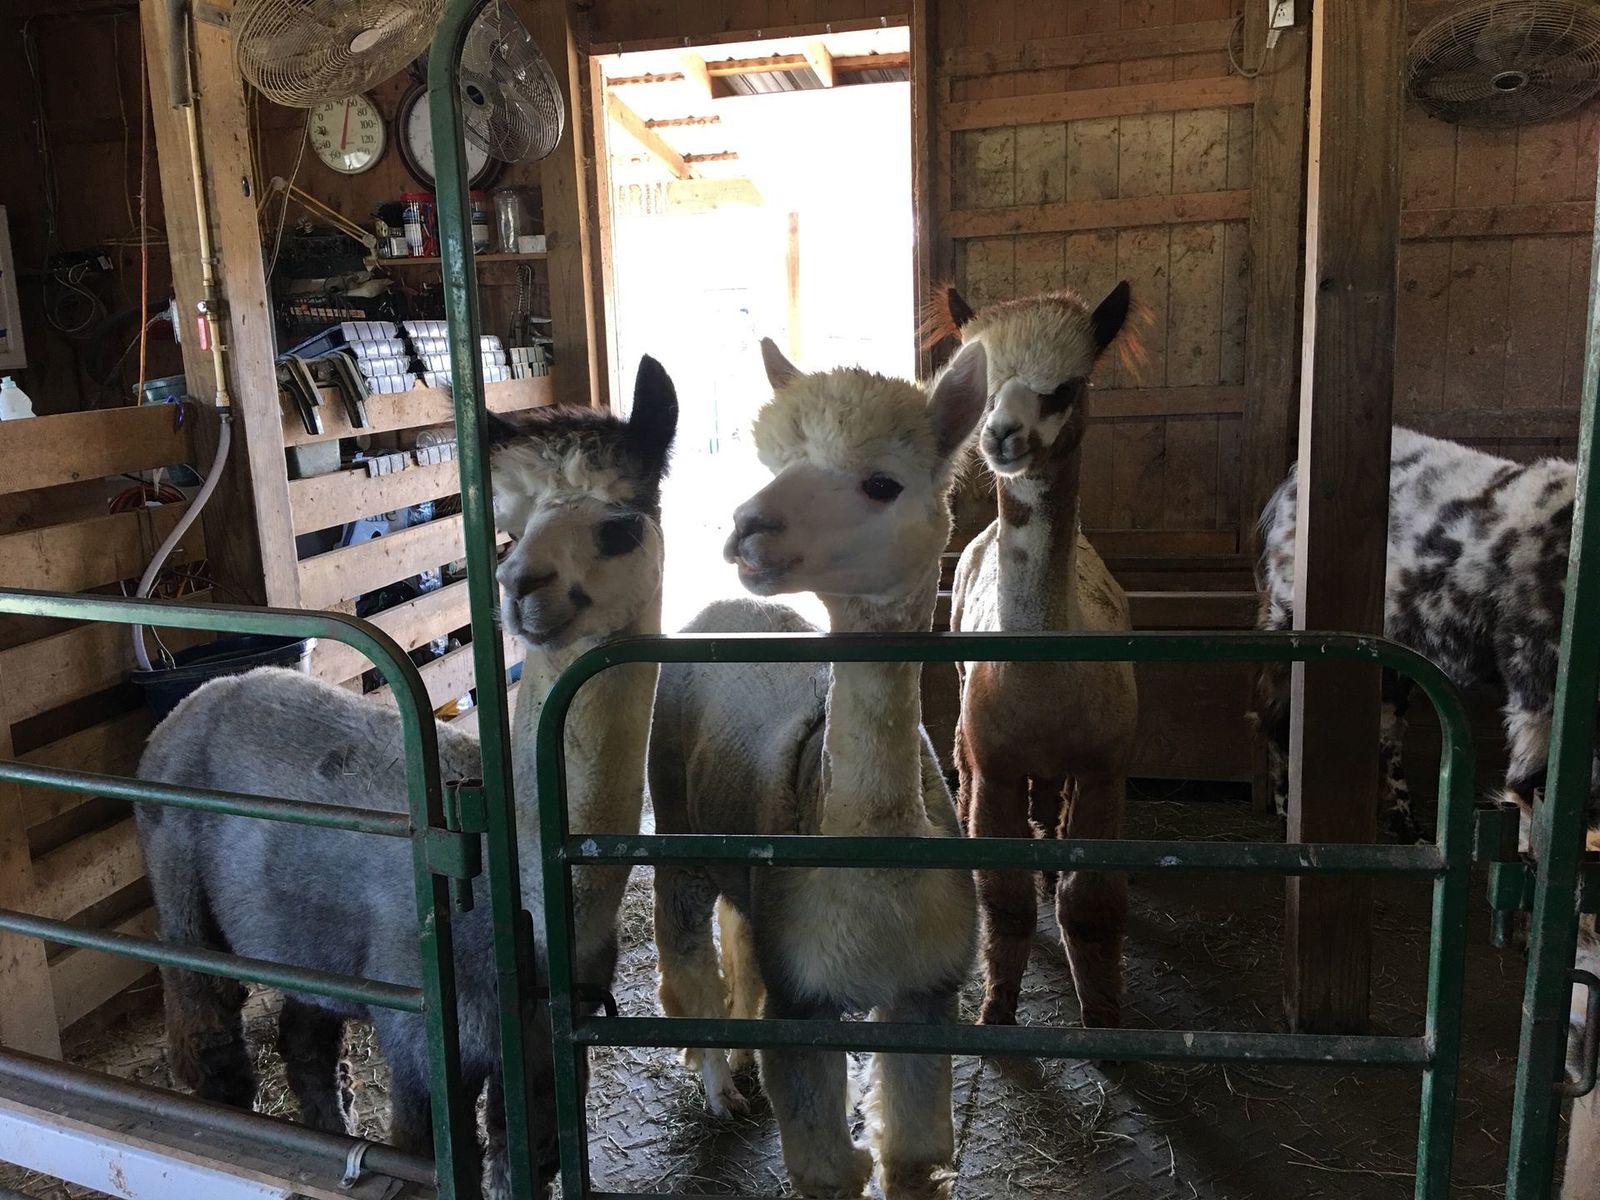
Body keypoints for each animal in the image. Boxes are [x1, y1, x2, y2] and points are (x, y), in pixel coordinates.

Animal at [647, 339, 987, 1198]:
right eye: (775, 463)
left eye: (881, 483)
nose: (747, 526)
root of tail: (724, 612)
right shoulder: (804, 1003)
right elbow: (828, 1167)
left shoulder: (925, 991)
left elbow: (915, 1153)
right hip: (673, 821)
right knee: (686, 957)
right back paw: (718, 1084)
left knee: (737, 933)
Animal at [935, 283, 1141, 1029]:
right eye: (987, 389)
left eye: (1064, 389)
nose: (1000, 435)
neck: (1046, 686)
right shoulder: (998, 763)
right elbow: (1005, 898)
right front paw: (996, 1008)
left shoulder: (1107, 767)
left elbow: (1092, 903)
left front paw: (1103, 1014)